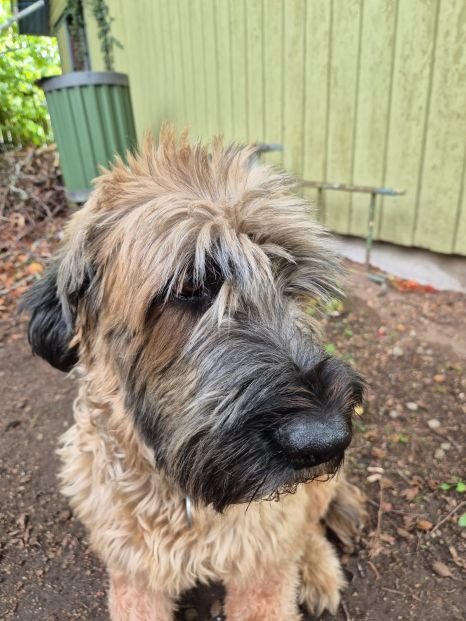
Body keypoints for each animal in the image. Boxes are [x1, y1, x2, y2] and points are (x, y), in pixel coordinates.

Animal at [23, 127, 365, 621]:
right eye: (190, 286)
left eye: (290, 281)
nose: (325, 441)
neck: (180, 494)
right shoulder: (134, 574)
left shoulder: (262, 567)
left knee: (309, 527)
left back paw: (319, 569)